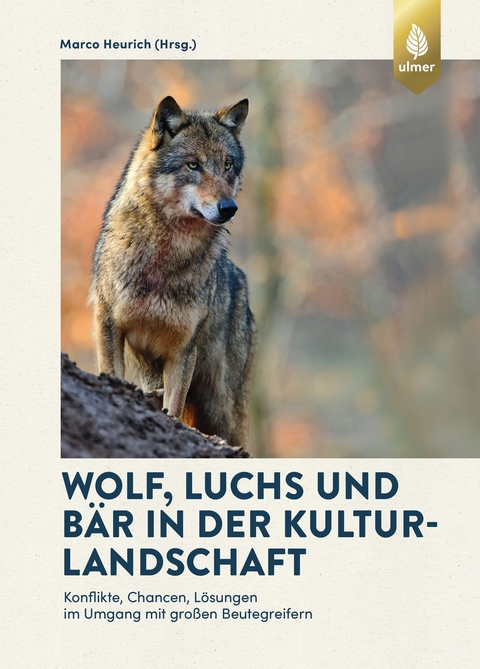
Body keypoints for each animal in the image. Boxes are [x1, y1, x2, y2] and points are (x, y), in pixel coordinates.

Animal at [90, 96, 257, 447]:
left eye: (227, 166)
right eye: (193, 165)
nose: (229, 208)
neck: (164, 258)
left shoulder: (183, 348)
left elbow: (174, 408)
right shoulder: (109, 325)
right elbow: (112, 374)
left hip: (224, 409)